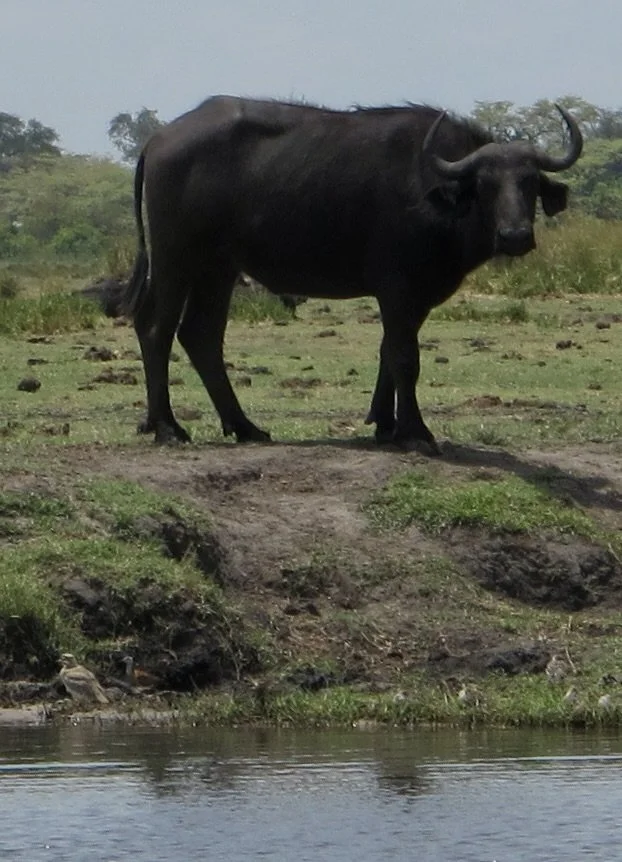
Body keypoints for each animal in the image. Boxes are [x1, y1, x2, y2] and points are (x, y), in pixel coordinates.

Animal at [124, 96, 582, 452]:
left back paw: (245, 427)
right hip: (175, 259)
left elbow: (387, 351)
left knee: (201, 335)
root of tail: (159, 139)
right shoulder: (397, 287)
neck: (431, 191)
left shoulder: (416, 295)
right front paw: (414, 432)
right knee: (157, 329)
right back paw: (168, 427)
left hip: (218, 268)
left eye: (528, 182)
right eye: (486, 184)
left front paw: (385, 423)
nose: (515, 235)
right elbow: (406, 356)